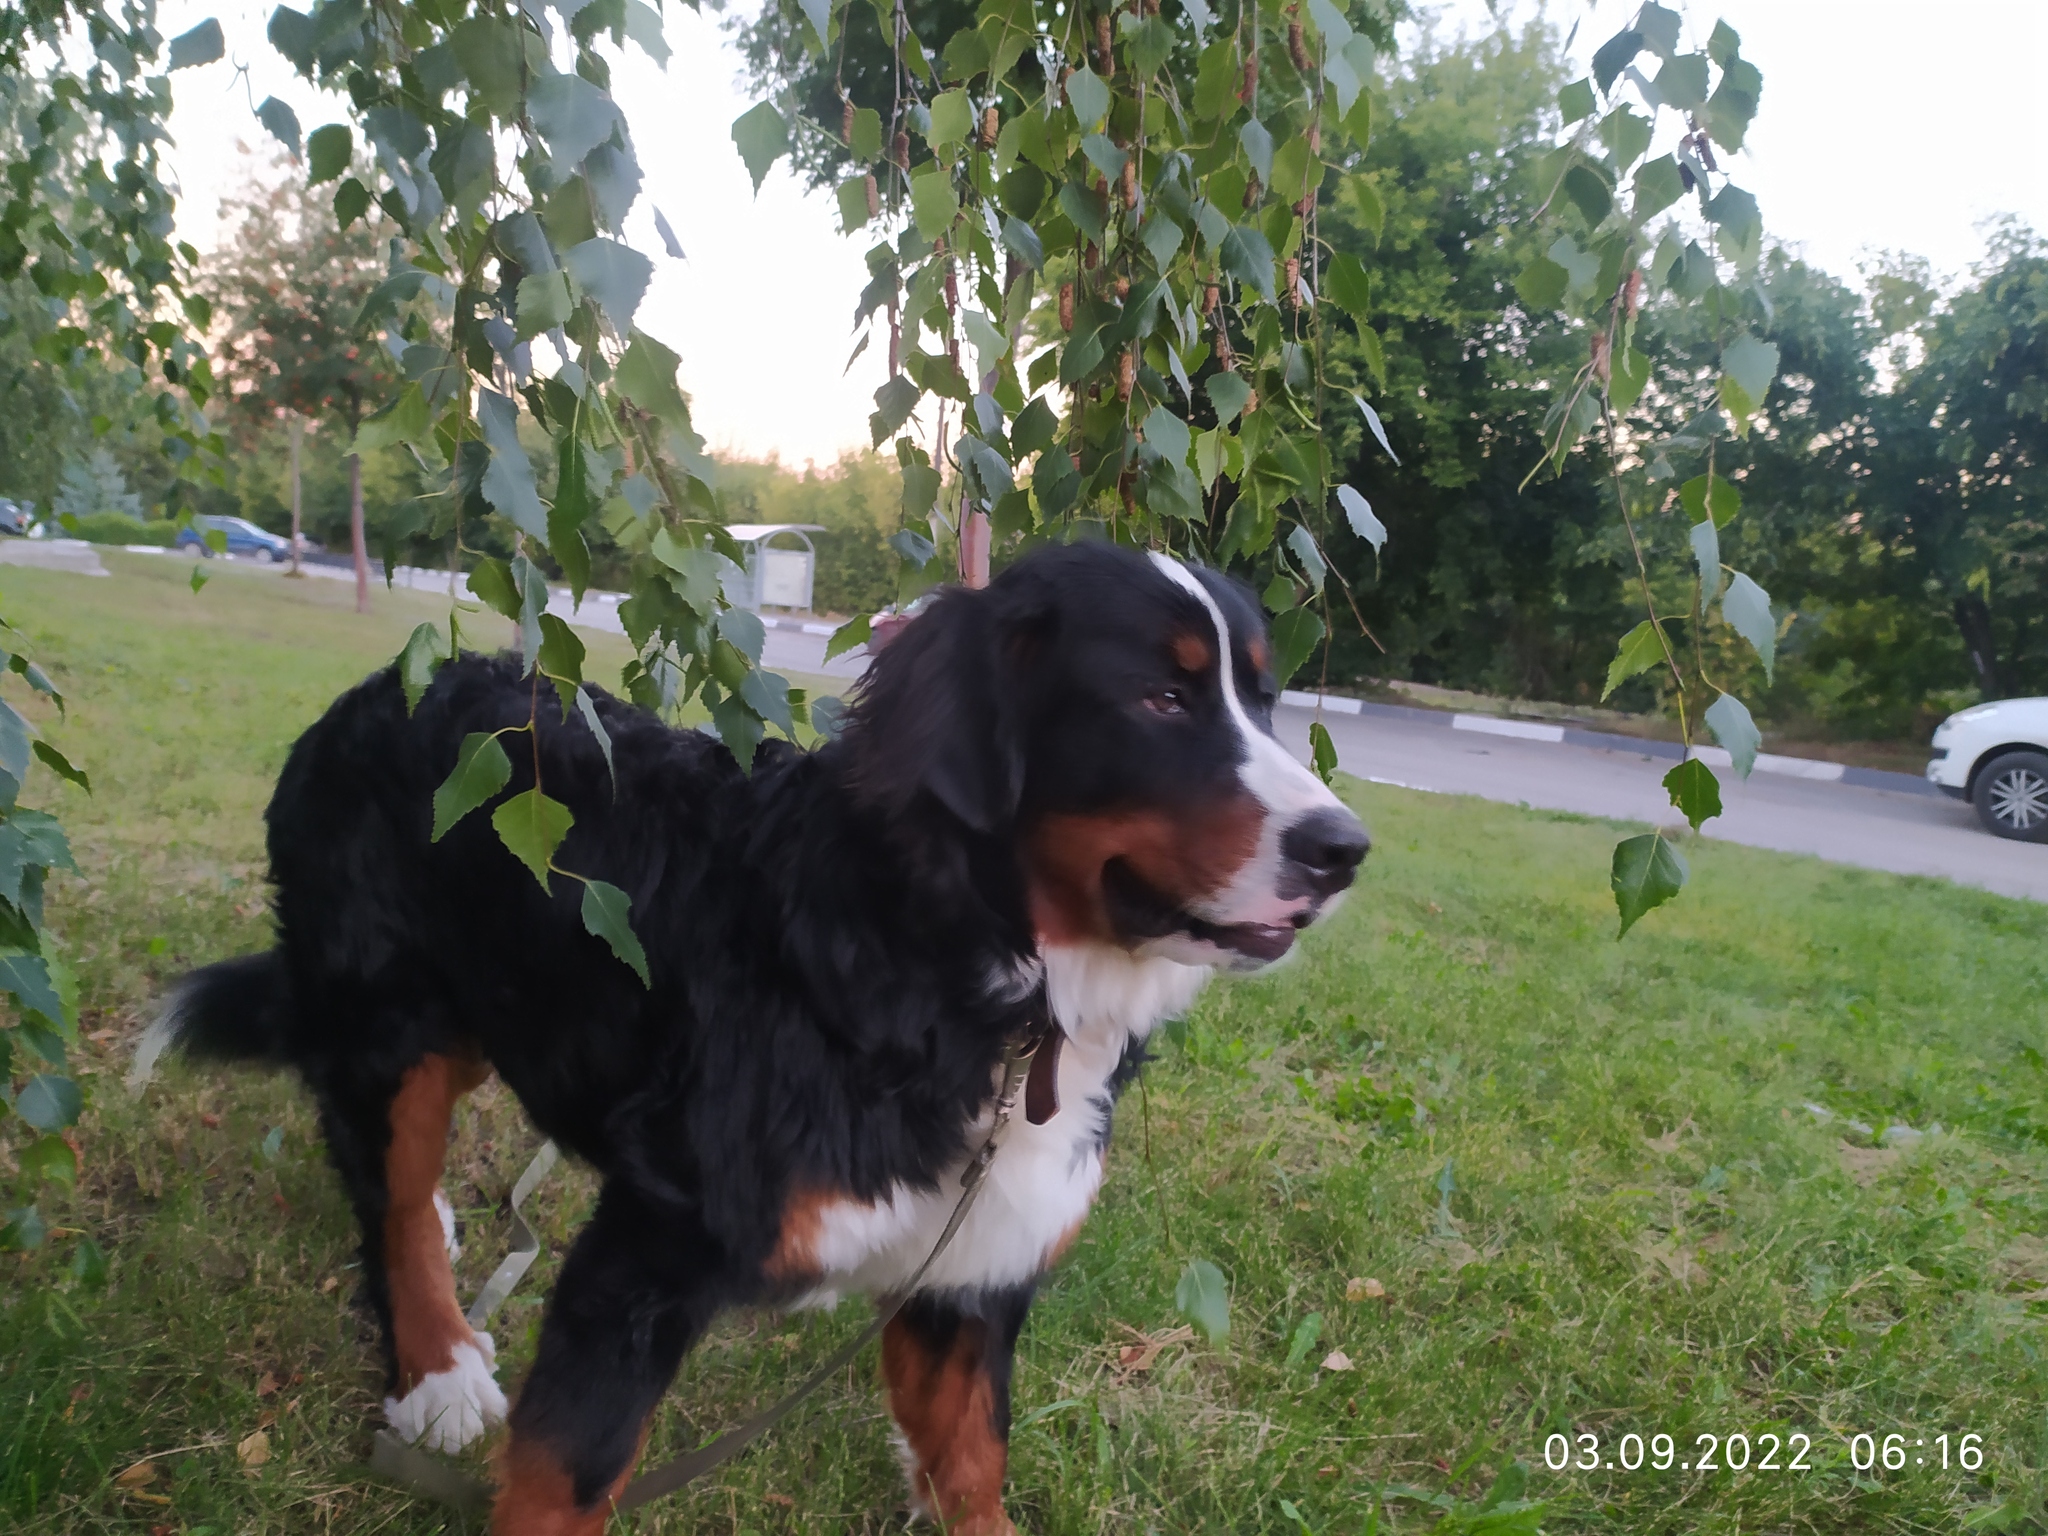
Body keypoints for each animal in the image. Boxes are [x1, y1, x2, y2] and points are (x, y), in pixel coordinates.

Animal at [140, 536, 1359, 1531]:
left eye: (1263, 698)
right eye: (1159, 698)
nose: (1344, 849)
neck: (973, 981)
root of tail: (386, 685)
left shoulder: (965, 1279)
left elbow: (972, 1465)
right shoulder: (644, 1262)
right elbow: (565, 1483)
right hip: (389, 1019)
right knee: (385, 1189)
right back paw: (435, 1366)